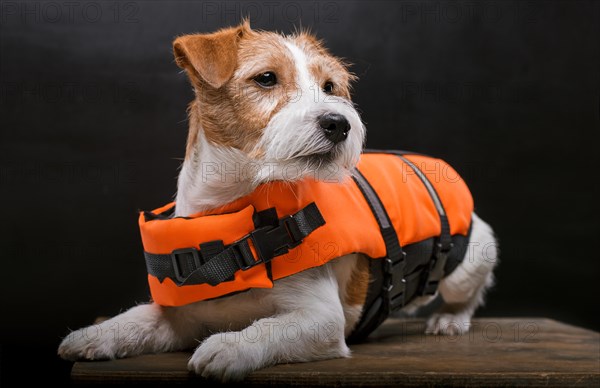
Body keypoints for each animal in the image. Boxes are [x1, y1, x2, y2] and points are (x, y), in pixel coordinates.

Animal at [58, 21, 496, 382]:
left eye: (329, 86)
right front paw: (93, 334)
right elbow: (135, 319)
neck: (230, 210)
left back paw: (449, 320)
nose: (339, 123)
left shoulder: (320, 319)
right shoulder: (181, 316)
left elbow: (269, 327)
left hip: (475, 254)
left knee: (468, 295)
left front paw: (229, 346)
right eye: (266, 78)